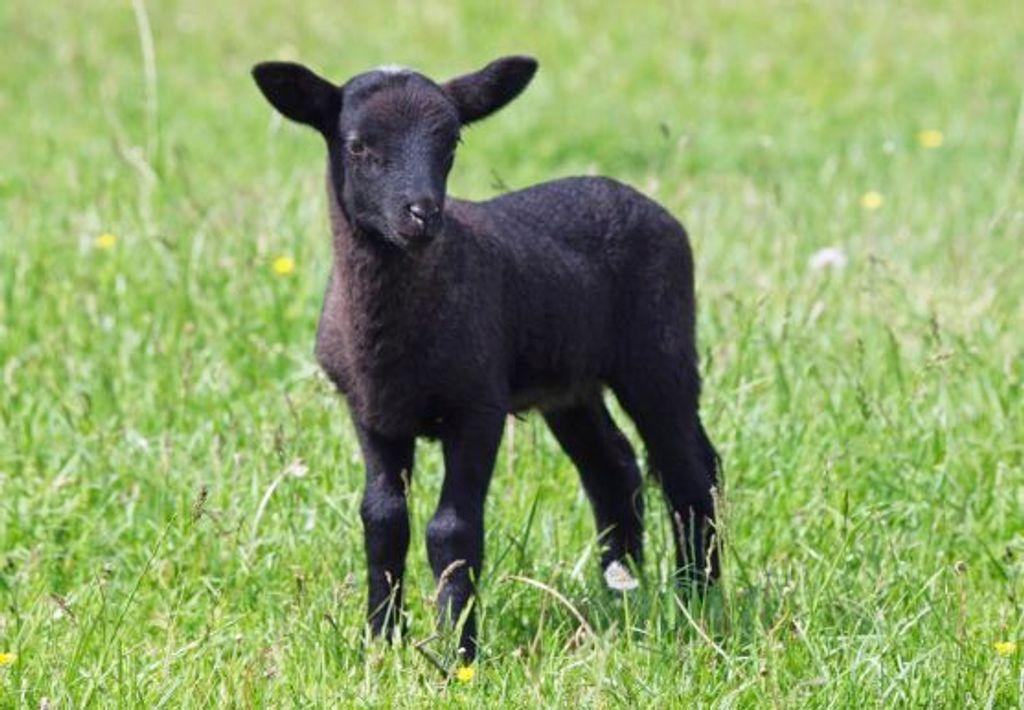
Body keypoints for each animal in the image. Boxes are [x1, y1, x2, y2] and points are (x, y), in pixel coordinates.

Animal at [252, 55, 720, 661]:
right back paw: (623, 590)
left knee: (690, 471)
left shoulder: (478, 406)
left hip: (659, 353)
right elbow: (383, 520)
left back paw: (698, 597)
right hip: (570, 383)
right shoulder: (370, 411)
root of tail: (642, 200)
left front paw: (459, 653)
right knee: (613, 466)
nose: (422, 214)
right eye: (357, 146)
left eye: (451, 141)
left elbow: (452, 529)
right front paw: (382, 641)